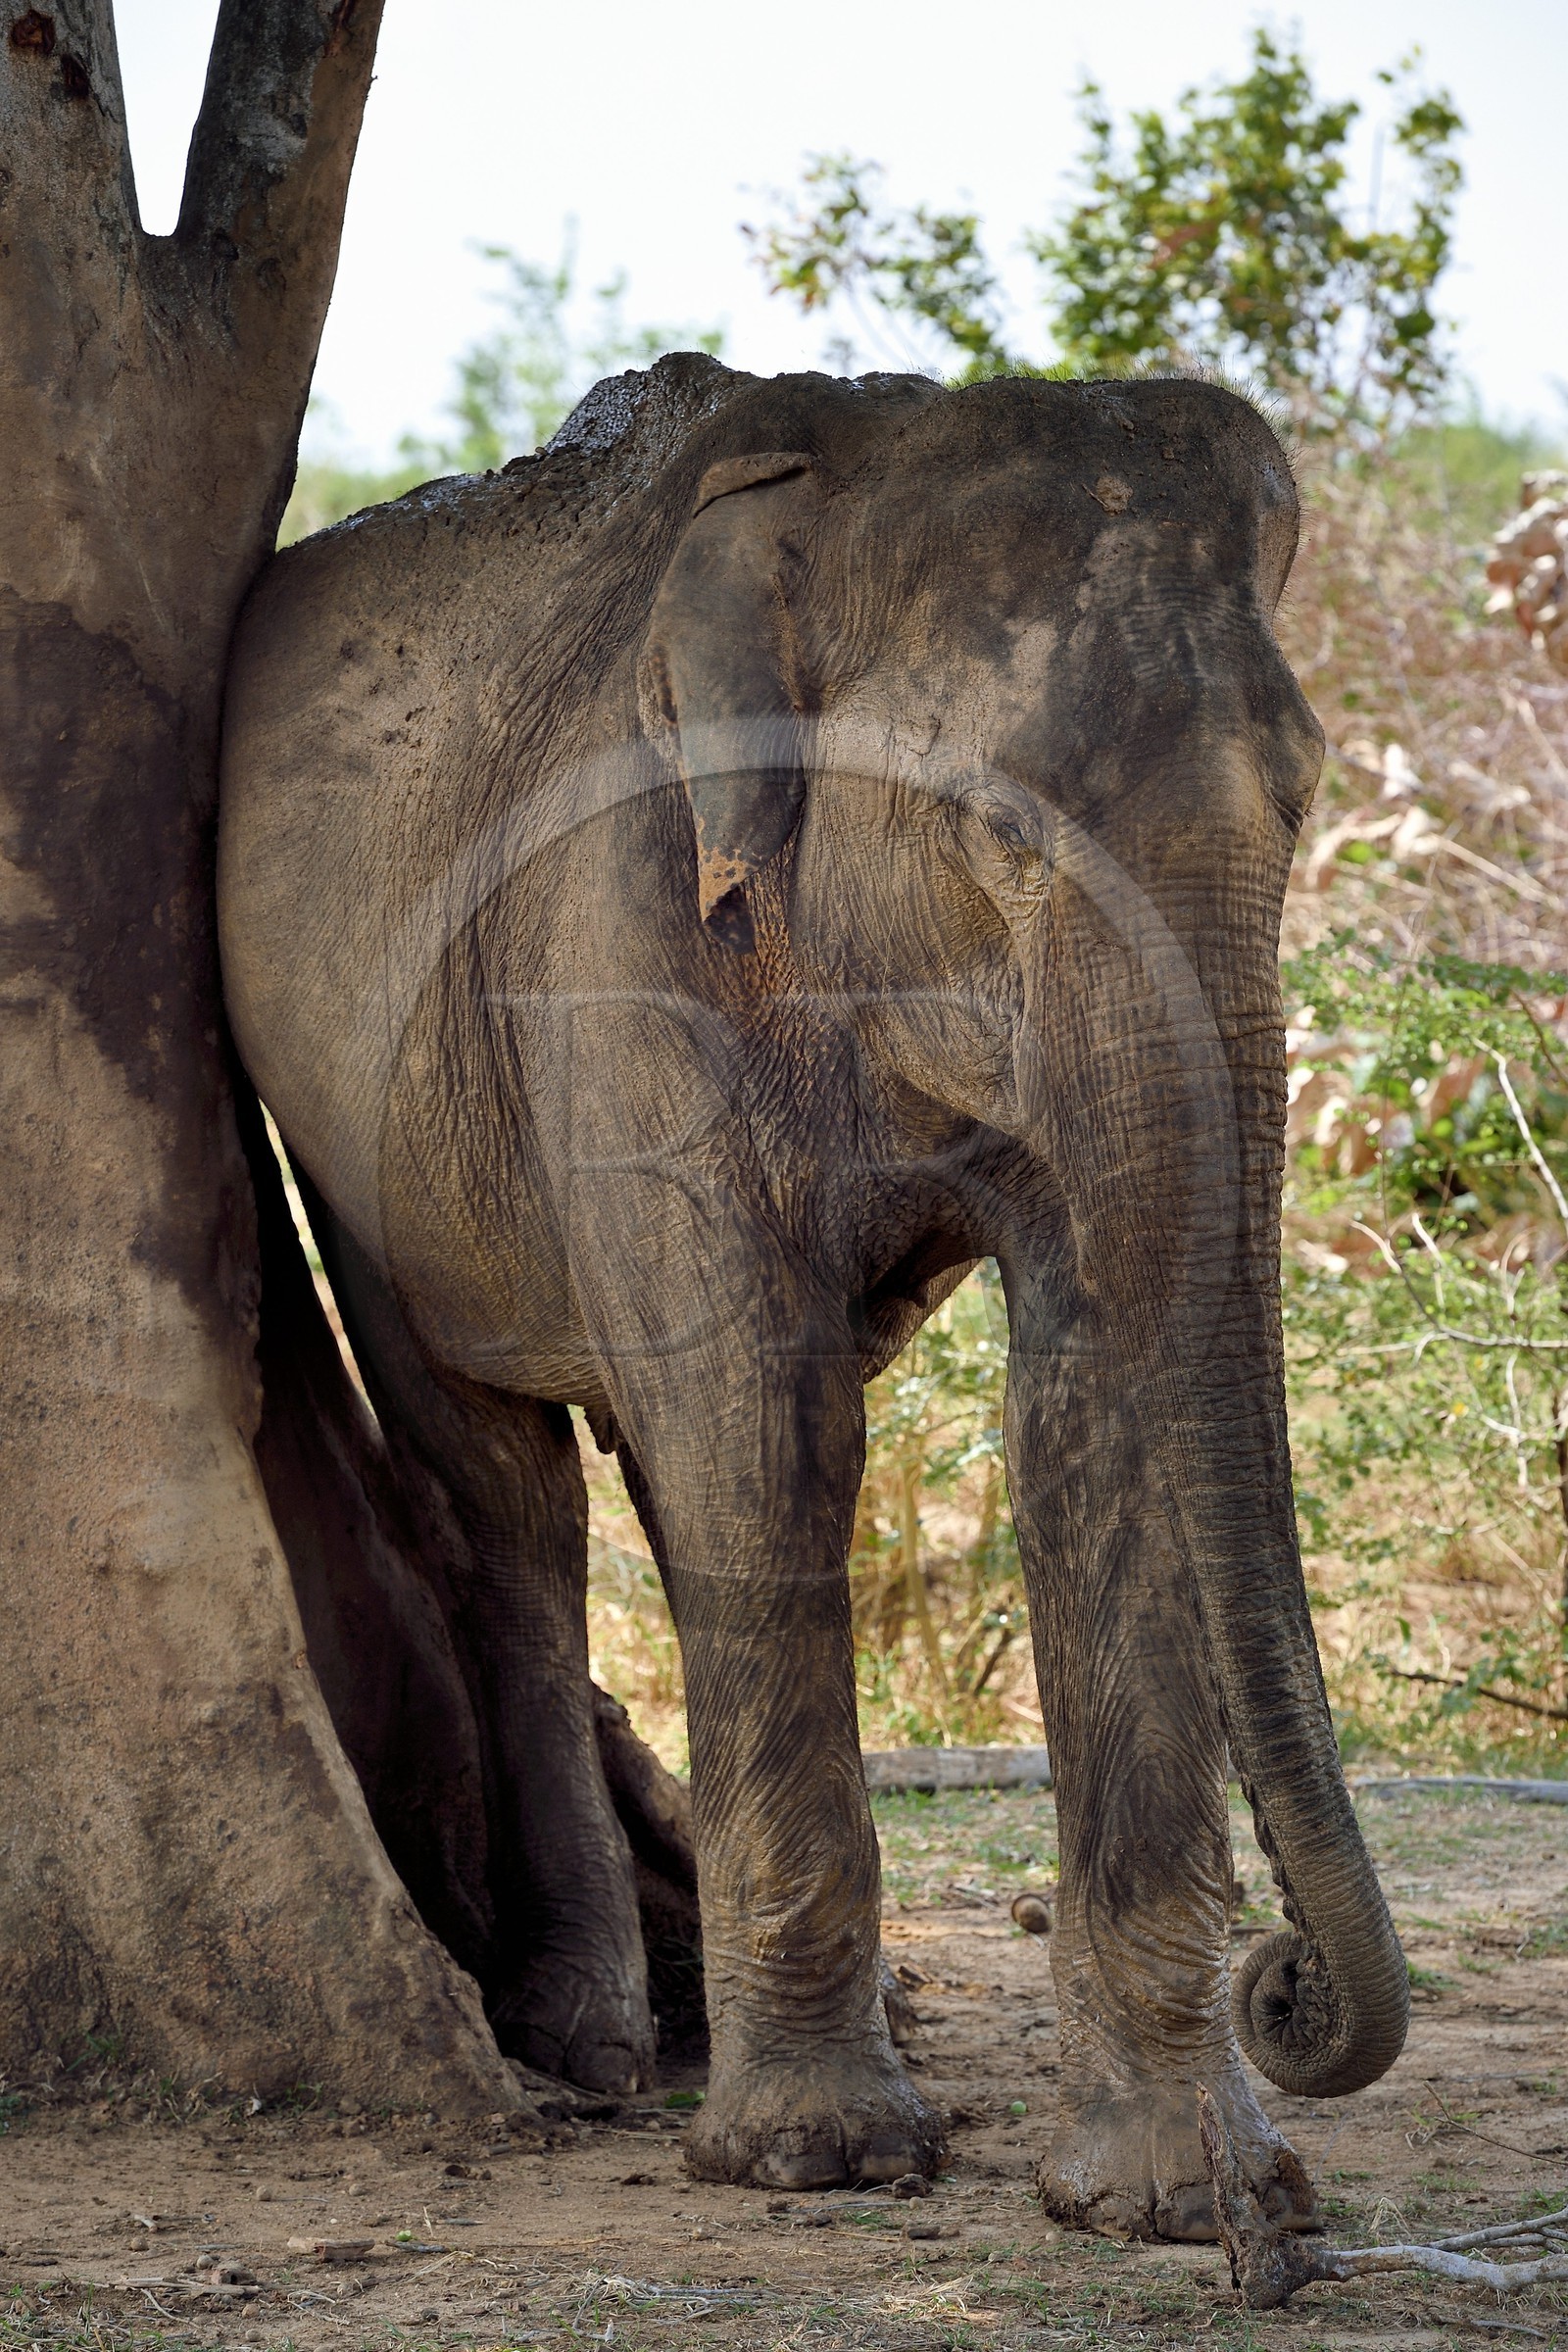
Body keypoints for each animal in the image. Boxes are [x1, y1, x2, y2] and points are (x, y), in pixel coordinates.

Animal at [218, 351, 1409, 2233]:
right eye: (996, 828)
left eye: (1300, 796)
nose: (1286, 1985)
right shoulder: (612, 928)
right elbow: (761, 1429)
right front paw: (815, 2161)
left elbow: (1095, 1409)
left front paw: (1183, 2199)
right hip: (364, 1118)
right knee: (512, 1489)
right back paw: (591, 2049)